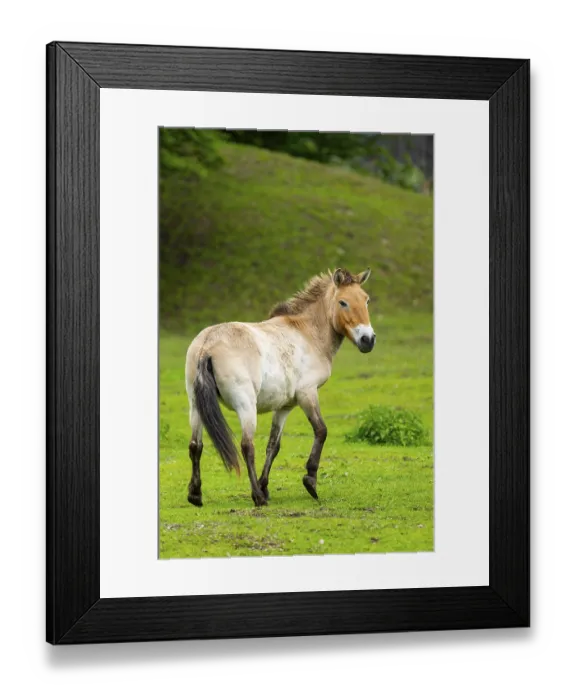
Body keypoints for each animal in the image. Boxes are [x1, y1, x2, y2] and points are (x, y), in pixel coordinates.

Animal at [184, 267, 375, 508]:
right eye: (343, 302)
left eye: (366, 300)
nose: (368, 340)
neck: (307, 333)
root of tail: (207, 345)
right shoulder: (307, 394)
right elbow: (321, 431)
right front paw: (310, 481)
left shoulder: (285, 406)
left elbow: (273, 445)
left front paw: (266, 486)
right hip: (245, 405)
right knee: (247, 446)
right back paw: (257, 497)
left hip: (195, 405)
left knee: (195, 445)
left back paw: (196, 495)